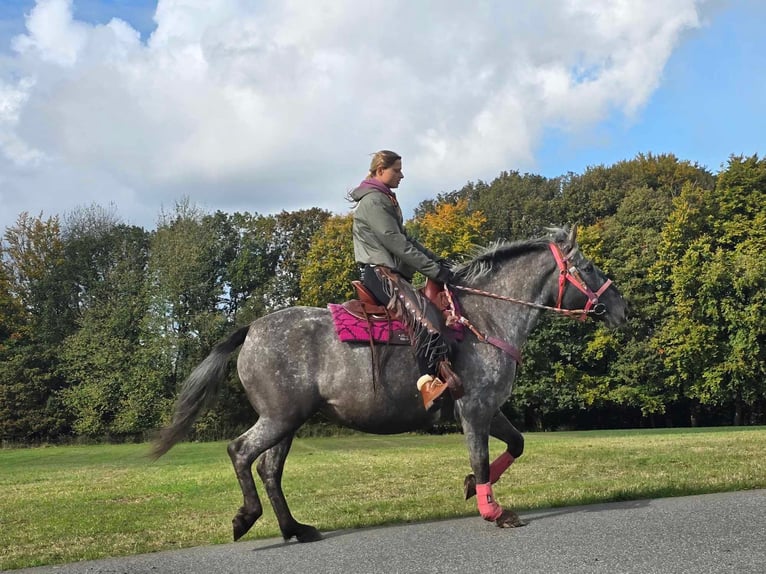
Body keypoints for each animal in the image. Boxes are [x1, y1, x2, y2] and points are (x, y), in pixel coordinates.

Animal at [153, 226, 628, 544]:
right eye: (588, 267)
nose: (622, 308)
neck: (484, 319)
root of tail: (251, 328)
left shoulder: (490, 409)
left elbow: (516, 444)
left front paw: (470, 488)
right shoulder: (475, 409)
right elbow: (480, 458)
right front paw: (493, 510)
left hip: (287, 421)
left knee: (269, 469)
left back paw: (295, 528)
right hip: (279, 417)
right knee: (241, 452)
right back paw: (246, 518)